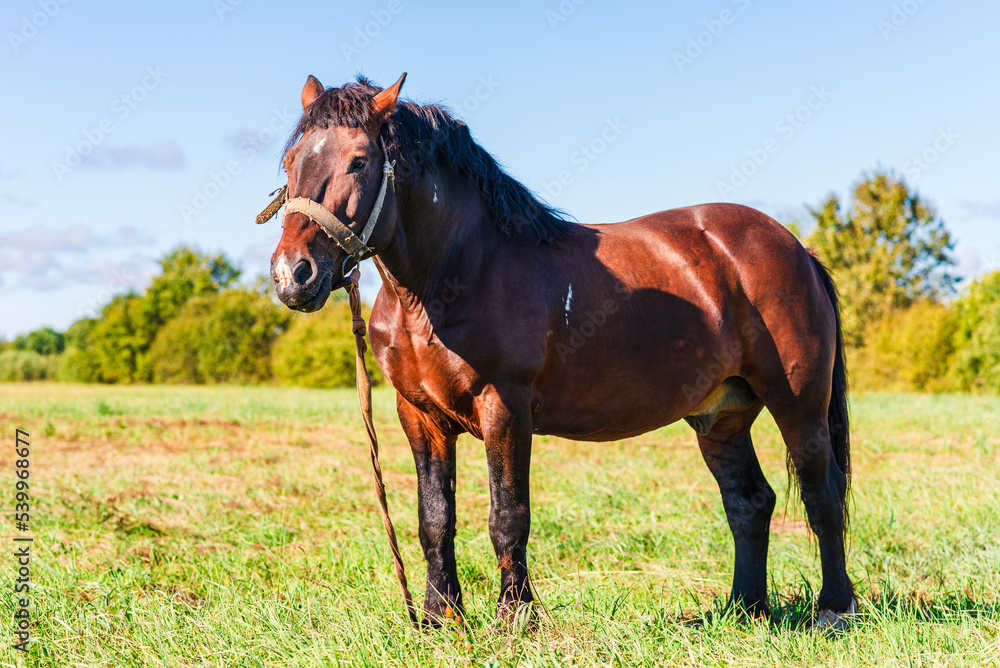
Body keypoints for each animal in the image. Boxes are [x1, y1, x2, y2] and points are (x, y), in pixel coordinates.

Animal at [264, 73, 856, 631]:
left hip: (797, 402)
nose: (294, 275)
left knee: (822, 494)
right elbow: (434, 518)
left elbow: (508, 515)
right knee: (749, 502)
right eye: (291, 161)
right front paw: (439, 619)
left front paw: (516, 618)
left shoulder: (505, 407)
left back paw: (833, 611)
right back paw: (743, 610)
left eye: (359, 161)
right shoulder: (419, 414)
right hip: (721, 416)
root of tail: (796, 247)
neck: (449, 279)